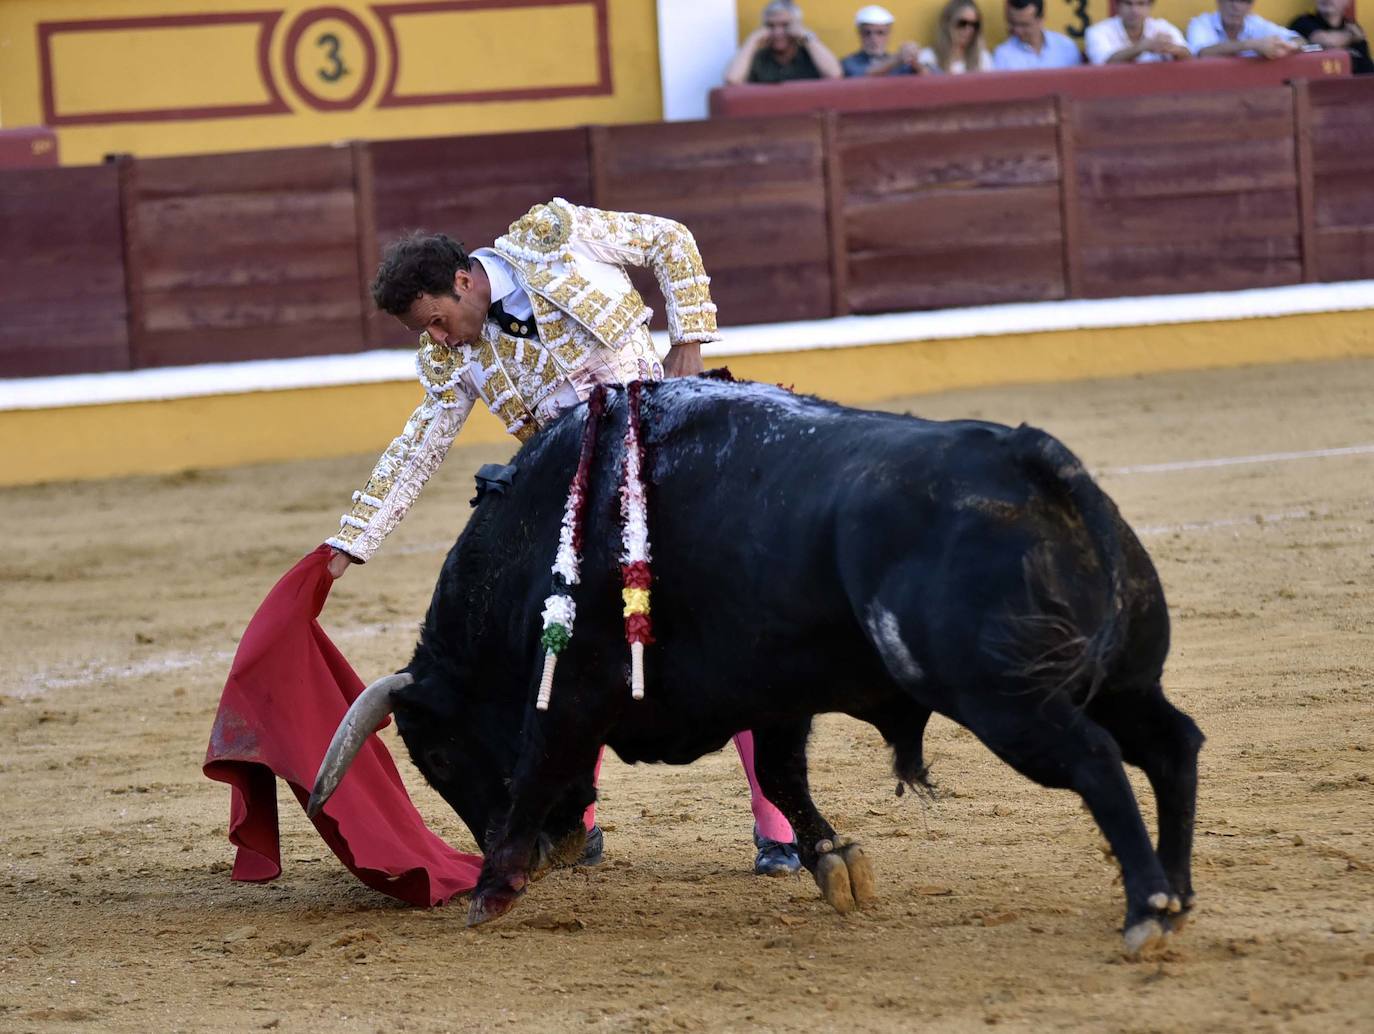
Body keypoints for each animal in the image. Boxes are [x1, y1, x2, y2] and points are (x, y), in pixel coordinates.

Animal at [314, 373, 1203, 950]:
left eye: (434, 756)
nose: (544, 853)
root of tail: (1031, 458)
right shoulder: (777, 691)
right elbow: (782, 774)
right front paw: (835, 863)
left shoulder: (576, 686)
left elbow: (537, 765)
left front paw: (492, 889)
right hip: (1121, 678)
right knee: (1170, 745)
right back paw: (1179, 891)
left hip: (1006, 701)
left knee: (1097, 760)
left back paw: (1146, 910)